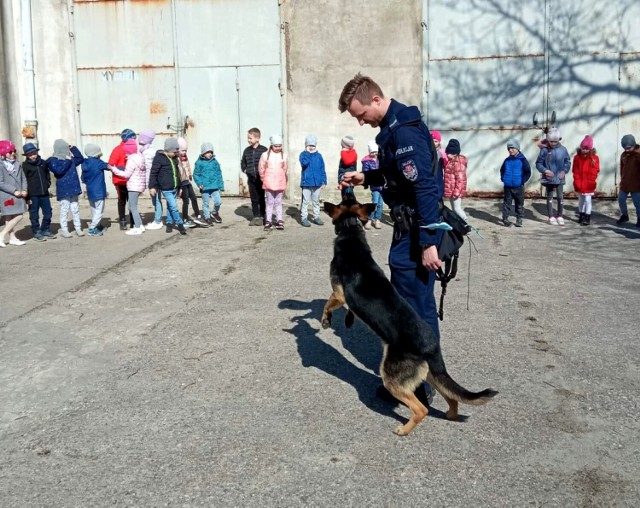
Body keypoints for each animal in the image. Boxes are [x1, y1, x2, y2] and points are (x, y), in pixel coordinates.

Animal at [322, 199, 498, 436]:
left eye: (339, 202)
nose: (326, 202)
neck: (351, 229)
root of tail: (432, 346)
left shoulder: (339, 294)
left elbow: (327, 304)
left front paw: (325, 320)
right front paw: (347, 320)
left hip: (392, 376)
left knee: (421, 409)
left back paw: (404, 429)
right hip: (431, 374)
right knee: (452, 397)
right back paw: (450, 416)